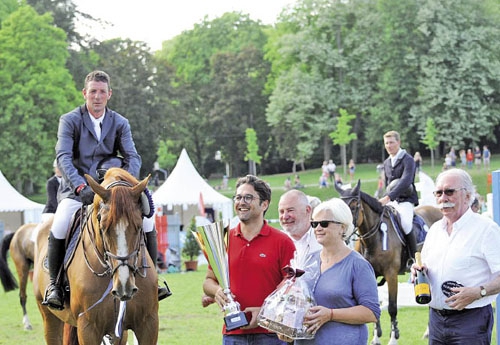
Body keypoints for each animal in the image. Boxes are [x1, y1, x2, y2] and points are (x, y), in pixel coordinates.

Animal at [33, 168, 157, 342]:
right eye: (103, 227)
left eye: (139, 225)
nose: (124, 286)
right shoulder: (88, 328)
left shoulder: (148, 324)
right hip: (49, 318)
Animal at [336, 180, 442, 344]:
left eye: (354, 205)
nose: (343, 233)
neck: (372, 240)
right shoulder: (370, 275)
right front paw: (376, 338)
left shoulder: (391, 274)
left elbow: (392, 307)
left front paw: (393, 339)